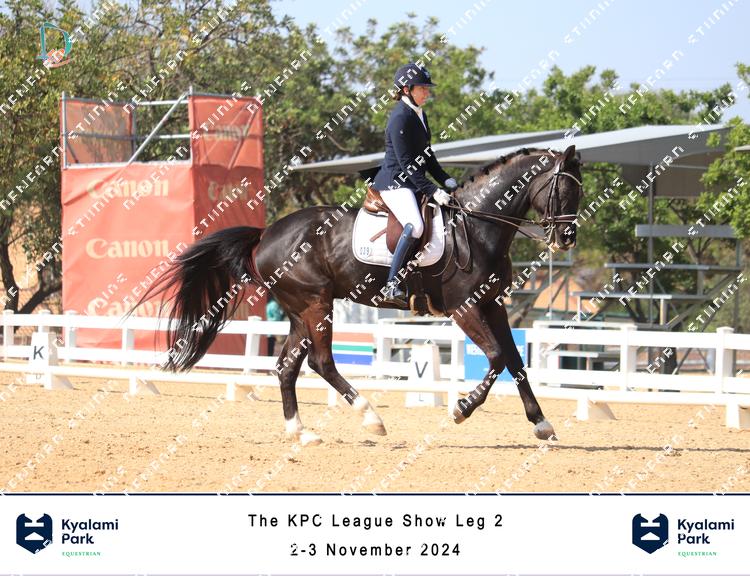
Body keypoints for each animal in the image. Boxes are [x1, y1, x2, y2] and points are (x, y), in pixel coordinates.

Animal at [128, 145, 583, 446]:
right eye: (564, 189)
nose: (567, 239)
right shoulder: (465, 308)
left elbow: (515, 361)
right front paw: (461, 409)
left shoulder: (494, 305)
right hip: (316, 305)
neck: (478, 224)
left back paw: (301, 432)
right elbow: (495, 358)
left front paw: (542, 424)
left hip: (300, 311)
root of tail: (266, 234)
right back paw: (371, 419)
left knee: (287, 367)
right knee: (321, 362)